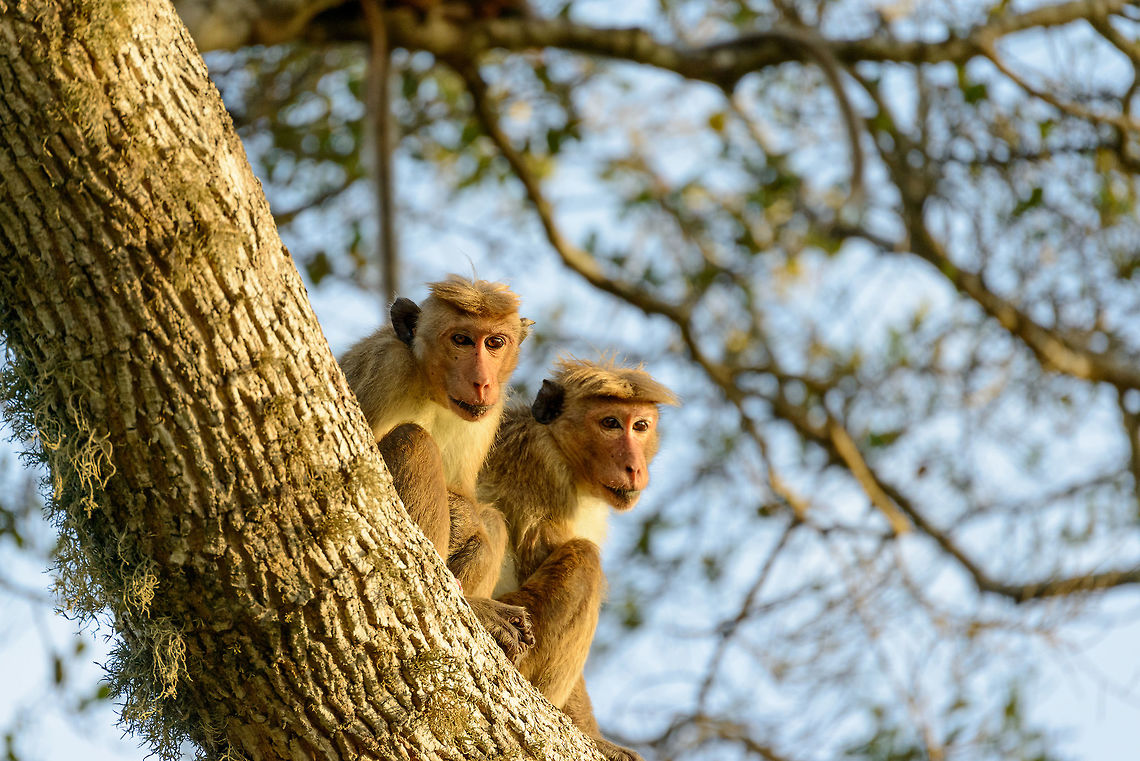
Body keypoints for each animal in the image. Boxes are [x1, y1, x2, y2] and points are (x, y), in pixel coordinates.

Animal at [339, 275, 536, 659]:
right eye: (461, 340)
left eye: (495, 343)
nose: (482, 381)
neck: (432, 389)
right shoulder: (386, 367)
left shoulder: (489, 412)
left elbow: (463, 494)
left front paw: (467, 522)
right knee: (415, 441)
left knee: (493, 521)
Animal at [478, 358, 678, 761]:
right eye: (610, 423)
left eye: (640, 426)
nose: (634, 467)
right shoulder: (544, 477)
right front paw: (597, 739)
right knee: (584, 560)